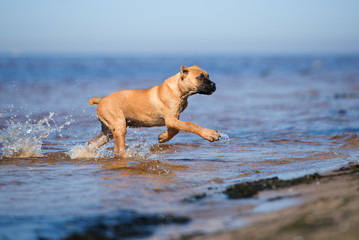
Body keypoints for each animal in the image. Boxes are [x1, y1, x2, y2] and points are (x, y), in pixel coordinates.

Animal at [88, 65, 221, 158]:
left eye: (208, 76)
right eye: (200, 77)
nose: (214, 85)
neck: (178, 90)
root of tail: (102, 99)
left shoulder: (173, 119)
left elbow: (175, 130)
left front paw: (163, 137)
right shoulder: (171, 119)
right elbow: (190, 125)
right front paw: (210, 134)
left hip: (108, 131)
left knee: (92, 143)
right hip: (119, 126)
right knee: (118, 151)